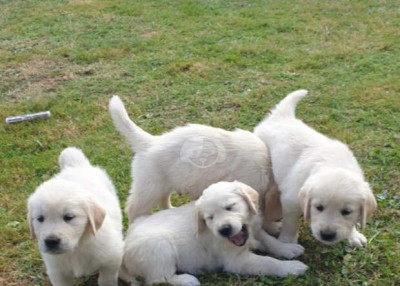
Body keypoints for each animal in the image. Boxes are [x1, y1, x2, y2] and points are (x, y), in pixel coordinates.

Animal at [27, 147, 123, 286]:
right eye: (40, 219)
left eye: (69, 217)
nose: (51, 241)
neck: (77, 247)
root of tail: (75, 165)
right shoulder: (58, 273)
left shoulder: (112, 257)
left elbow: (106, 279)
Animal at [120, 181, 308, 286]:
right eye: (209, 218)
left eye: (230, 207)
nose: (224, 230)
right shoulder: (236, 261)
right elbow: (267, 262)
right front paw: (291, 267)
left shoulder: (253, 229)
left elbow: (269, 240)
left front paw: (287, 248)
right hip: (160, 248)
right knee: (157, 278)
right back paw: (187, 280)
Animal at [255, 90, 376, 248]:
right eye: (319, 207)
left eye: (346, 211)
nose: (327, 235)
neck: (334, 163)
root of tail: (282, 116)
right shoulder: (291, 200)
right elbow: (290, 223)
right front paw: (287, 241)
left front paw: (354, 235)